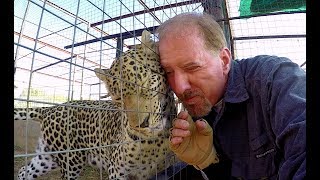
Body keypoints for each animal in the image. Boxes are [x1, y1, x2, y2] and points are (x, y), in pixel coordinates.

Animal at [15, 30, 178, 179]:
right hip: (71, 160)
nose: (142, 125)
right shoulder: (117, 170)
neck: (155, 141)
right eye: (118, 98)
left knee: (24, 170)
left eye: (145, 83)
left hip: (47, 157)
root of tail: (51, 108)